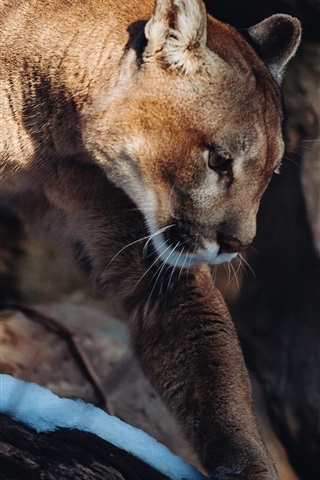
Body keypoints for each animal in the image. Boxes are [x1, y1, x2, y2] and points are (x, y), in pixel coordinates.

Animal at [0, 0, 300, 478]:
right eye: (219, 160)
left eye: (270, 172)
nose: (238, 244)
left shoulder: (149, 249)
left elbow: (207, 353)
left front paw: (248, 465)